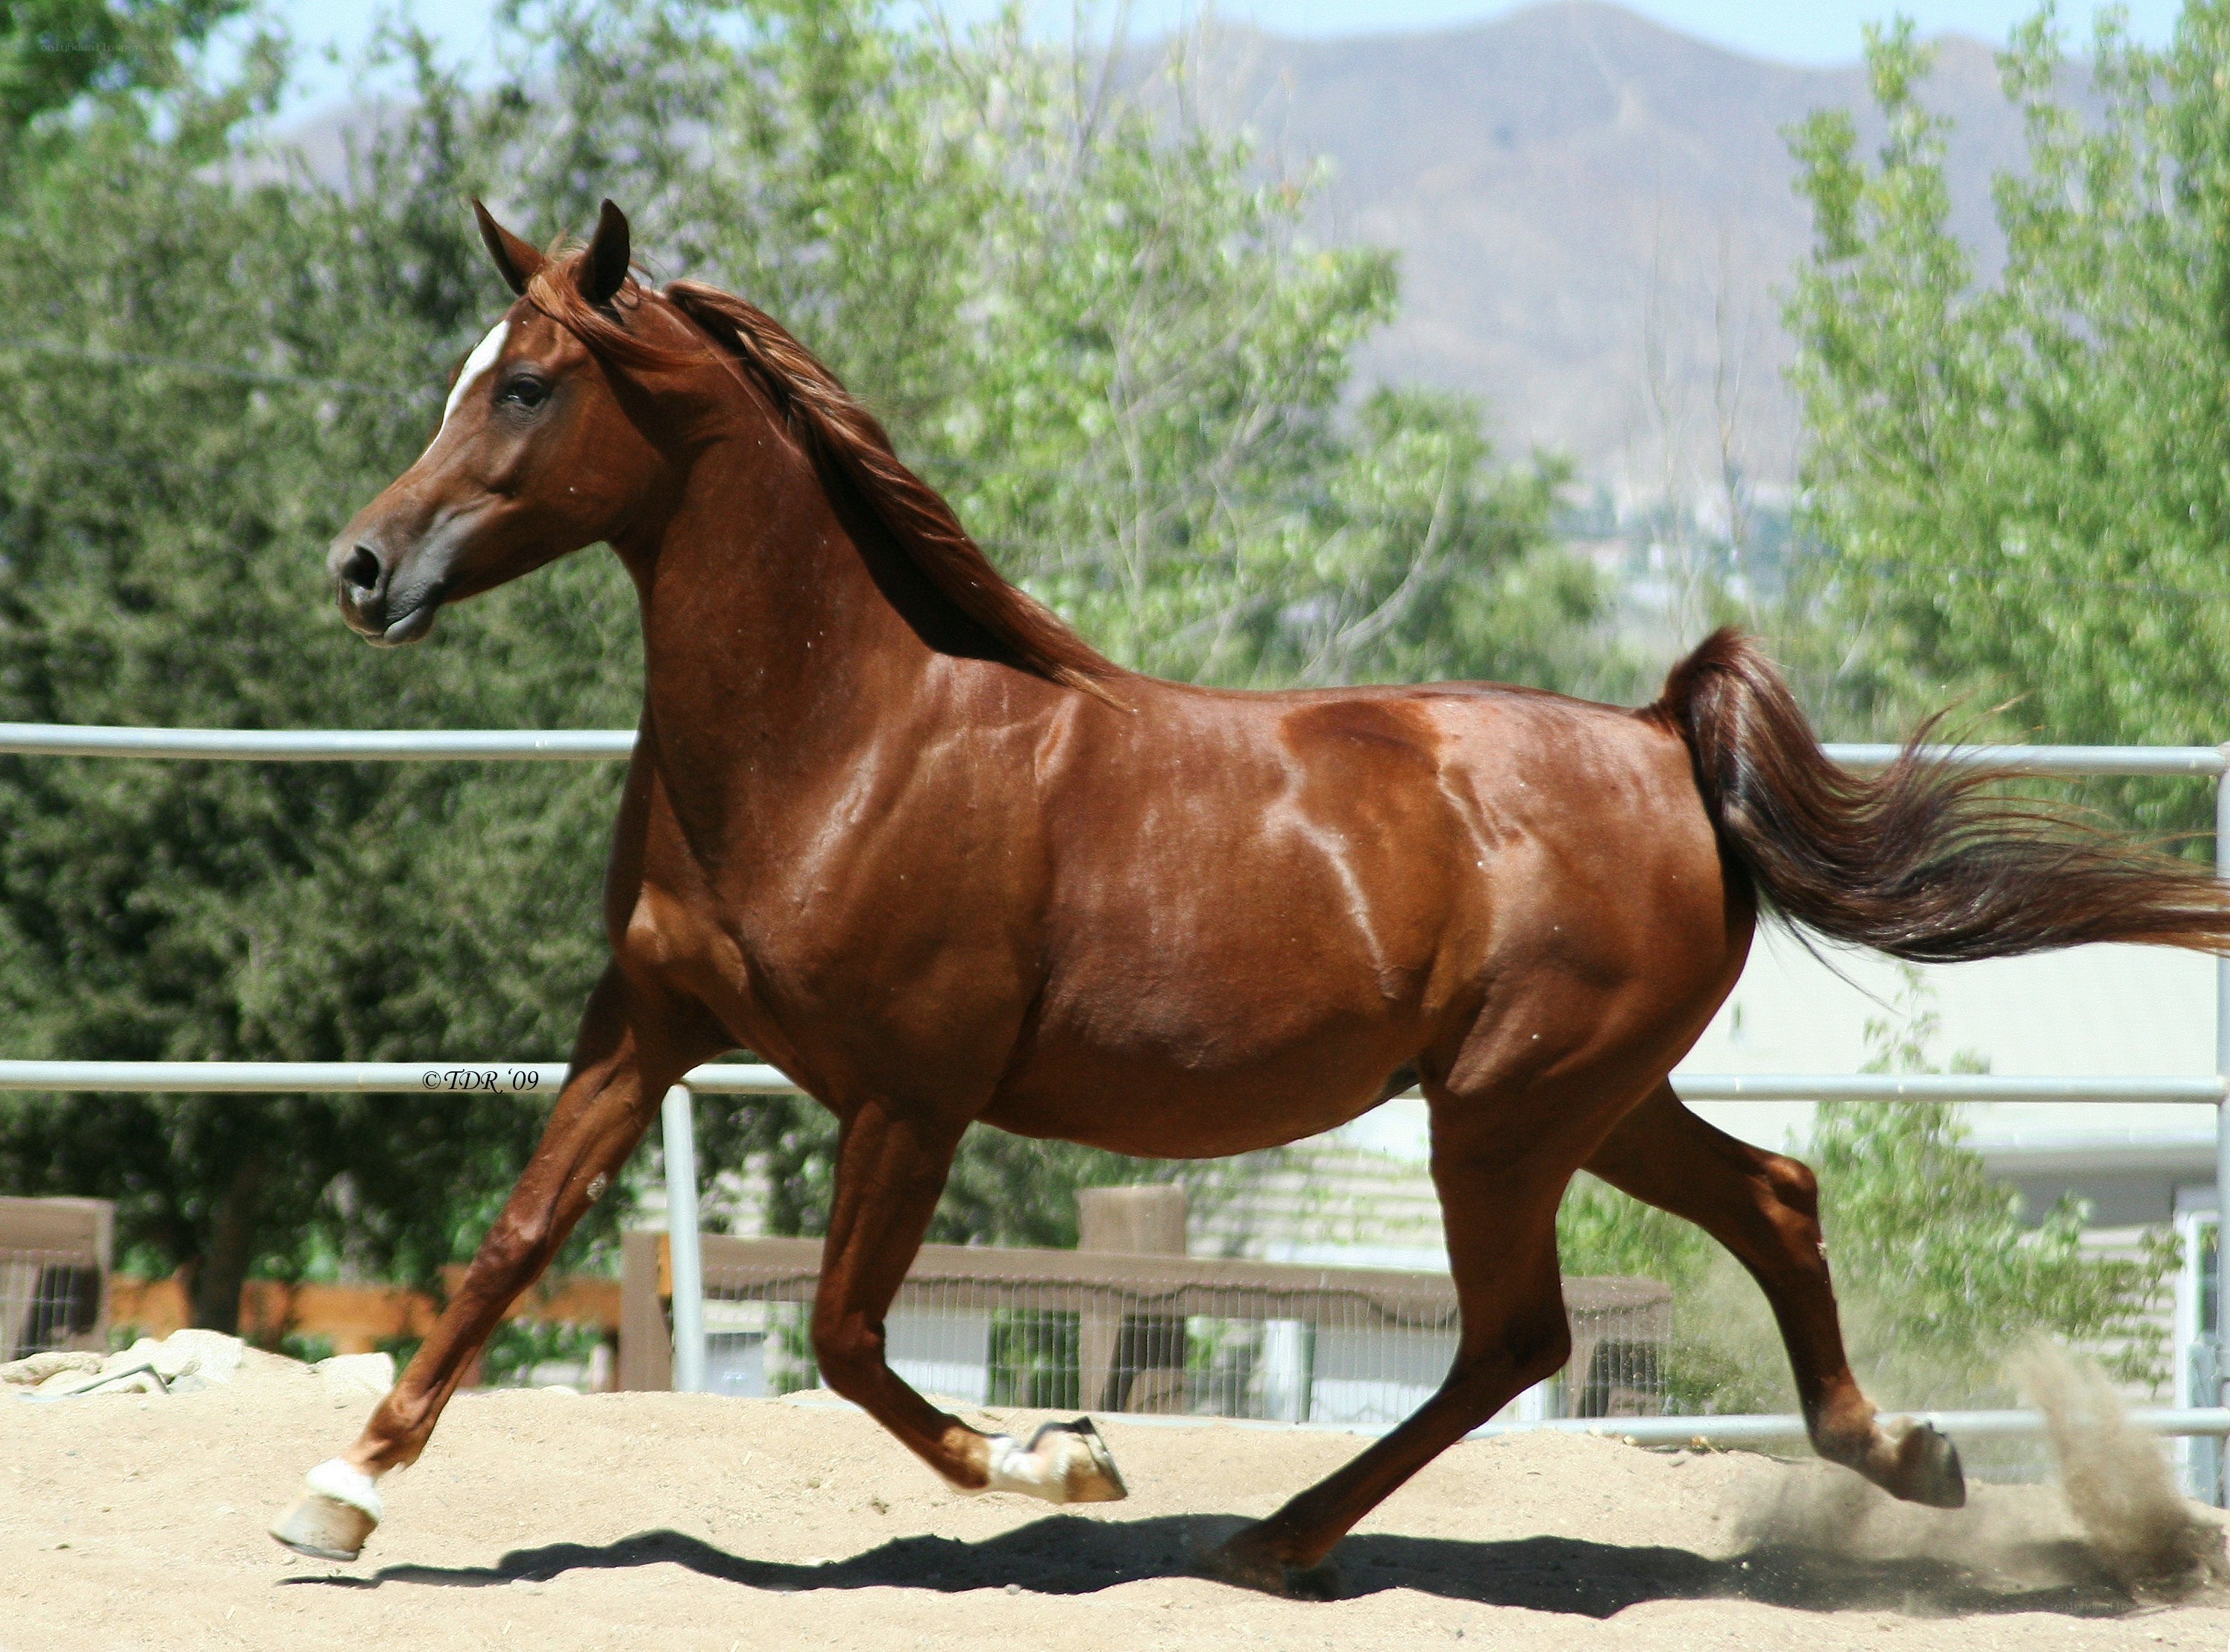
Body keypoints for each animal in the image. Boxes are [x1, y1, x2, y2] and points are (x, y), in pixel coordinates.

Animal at [270, 198, 2230, 1593]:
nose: (359, 567)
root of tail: (1666, 745)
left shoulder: (911, 1089)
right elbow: (516, 1238)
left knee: (1522, 1328)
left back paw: (1276, 1535)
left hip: (1504, 1112)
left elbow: (840, 1335)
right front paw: (336, 1497)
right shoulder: (649, 1024)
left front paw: (1061, 1455)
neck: (847, 736)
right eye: (467, 373)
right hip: (1583, 1098)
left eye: (527, 384)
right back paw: (1904, 1453)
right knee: (1772, 1199)